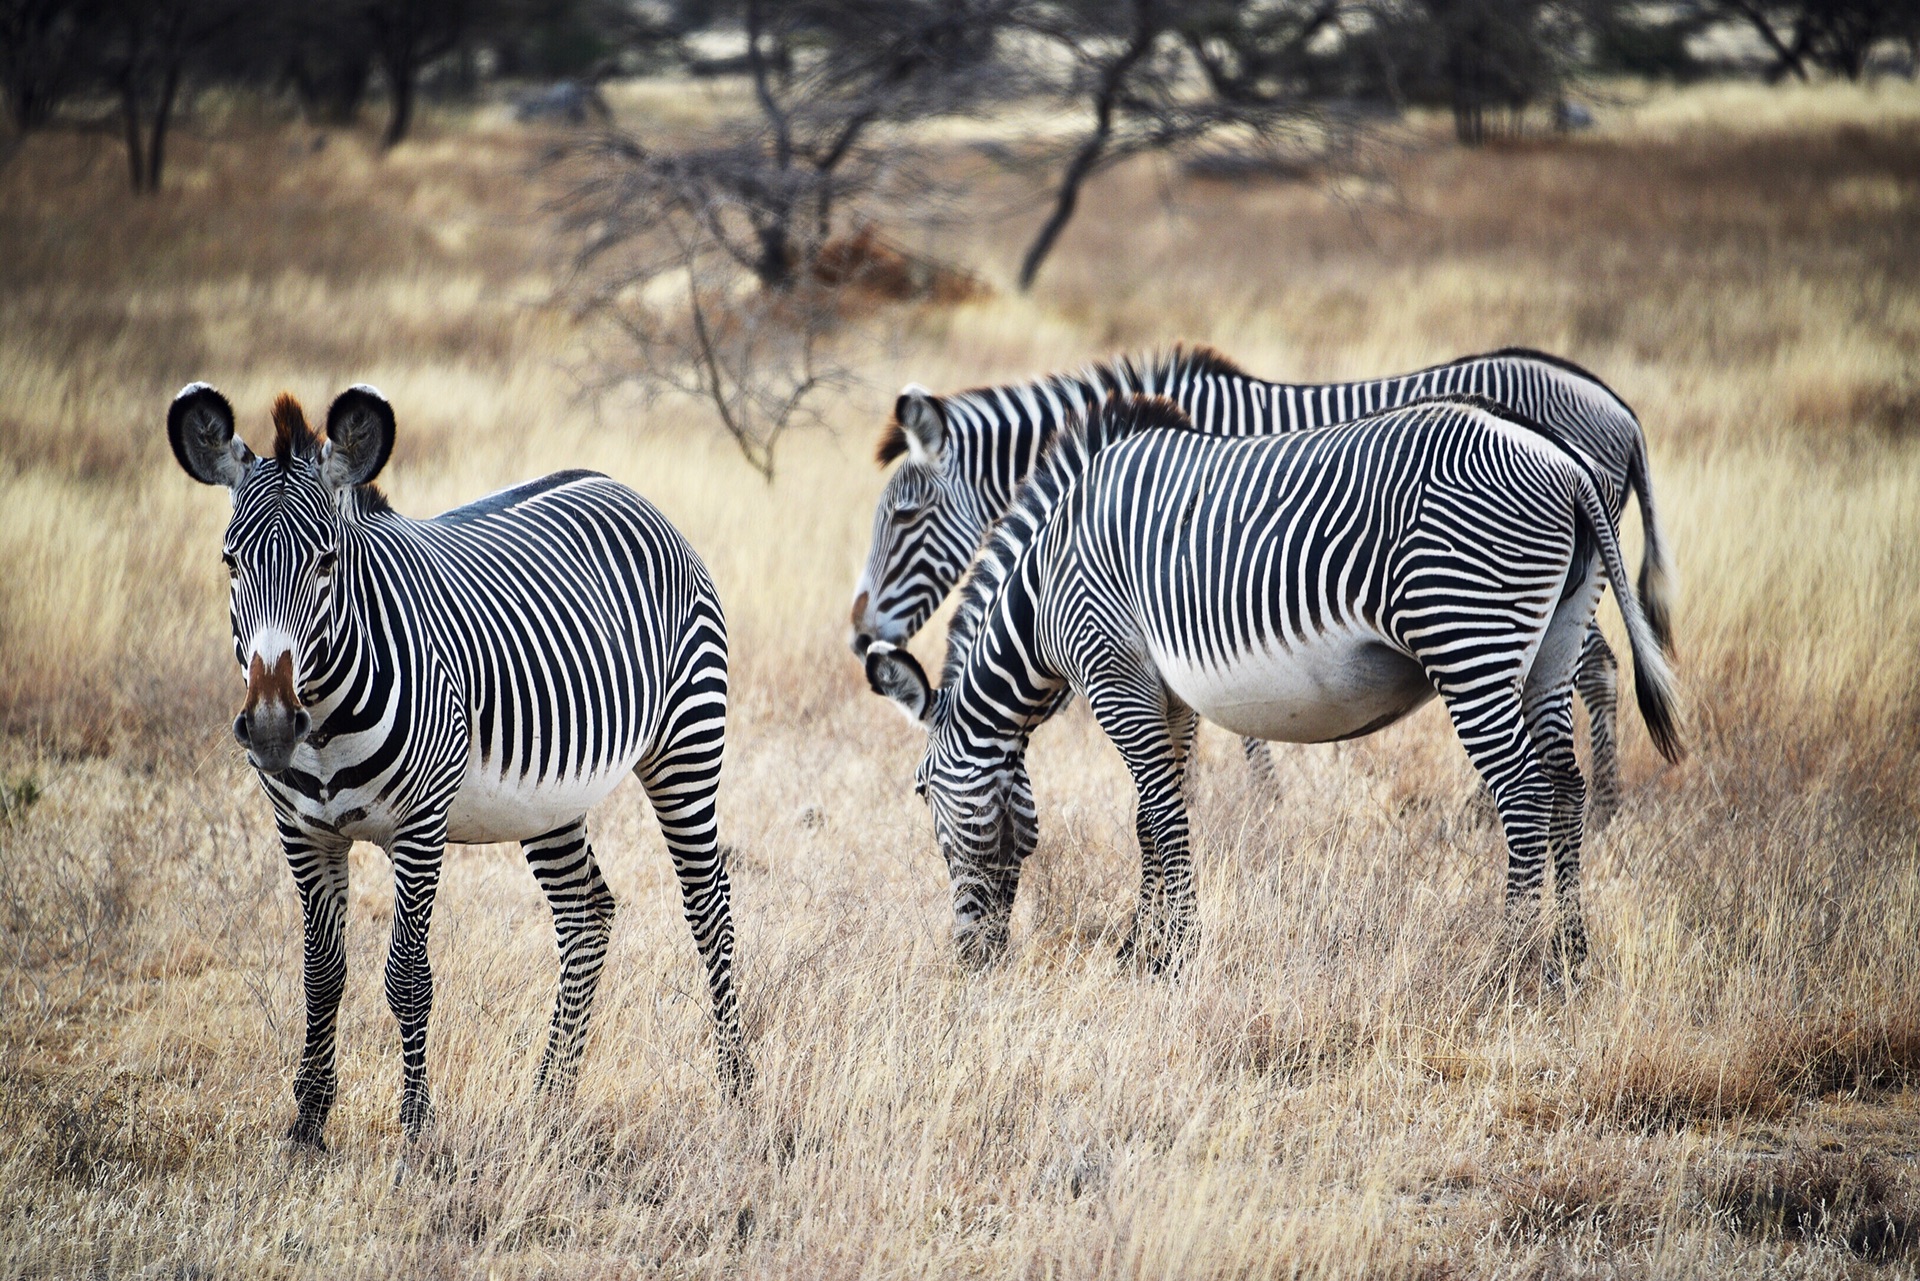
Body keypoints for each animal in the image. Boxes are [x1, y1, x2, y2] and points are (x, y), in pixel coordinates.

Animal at [168, 384, 748, 1152]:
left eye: (326, 562)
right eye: (230, 563)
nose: (267, 727)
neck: (323, 721)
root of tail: (621, 485)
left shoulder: (419, 826)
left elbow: (407, 977)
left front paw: (416, 1130)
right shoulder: (302, 831)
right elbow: (321, 975)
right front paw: (307, 1127)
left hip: (687, 742)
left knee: (709, 906)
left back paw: (738, 1090)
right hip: (548, 799)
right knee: (587, 913)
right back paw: (548, 1100)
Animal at [848, 345, 1674, 825]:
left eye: (907, 515)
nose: (860, 633)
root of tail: (1620, 408)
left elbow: (1224, 725)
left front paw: (1250, 804)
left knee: (1591, 676)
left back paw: (1591, 809)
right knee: (1585, 677)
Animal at [860, 395, 1681, 975]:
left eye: (922, 792)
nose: (975, 960)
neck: (1039, 592)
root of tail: (1567, 463)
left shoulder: (1112, 671)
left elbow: (1160, 815)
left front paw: (1173, 956)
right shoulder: (1167, 693)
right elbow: (1156, 815)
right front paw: (1142, 947)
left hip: (1467, 637)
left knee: (1525, 790)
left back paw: (1509, 962)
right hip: (1553, 640)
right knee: (1566, 785)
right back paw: (1569, 955)